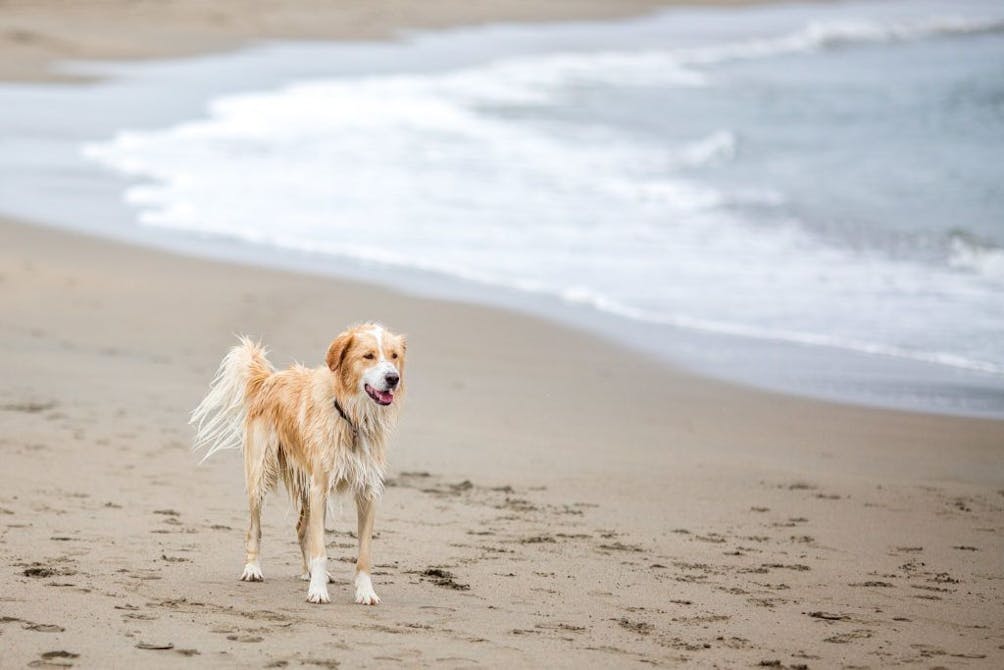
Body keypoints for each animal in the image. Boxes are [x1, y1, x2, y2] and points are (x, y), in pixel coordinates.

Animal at [189, 321, 405, 606]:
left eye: (394, 356)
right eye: (368, 355)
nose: (393, 378)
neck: (351, 416)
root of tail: (268, 379)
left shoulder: (367, 492)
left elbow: (363, 553)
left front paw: (365, 592)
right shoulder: (320, 487)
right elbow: (320, 548)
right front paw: (318, 591)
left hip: (304, 483)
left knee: (302, 529)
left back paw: (310, 572)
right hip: (261, 474)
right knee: (255, 527)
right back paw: (253, 568)